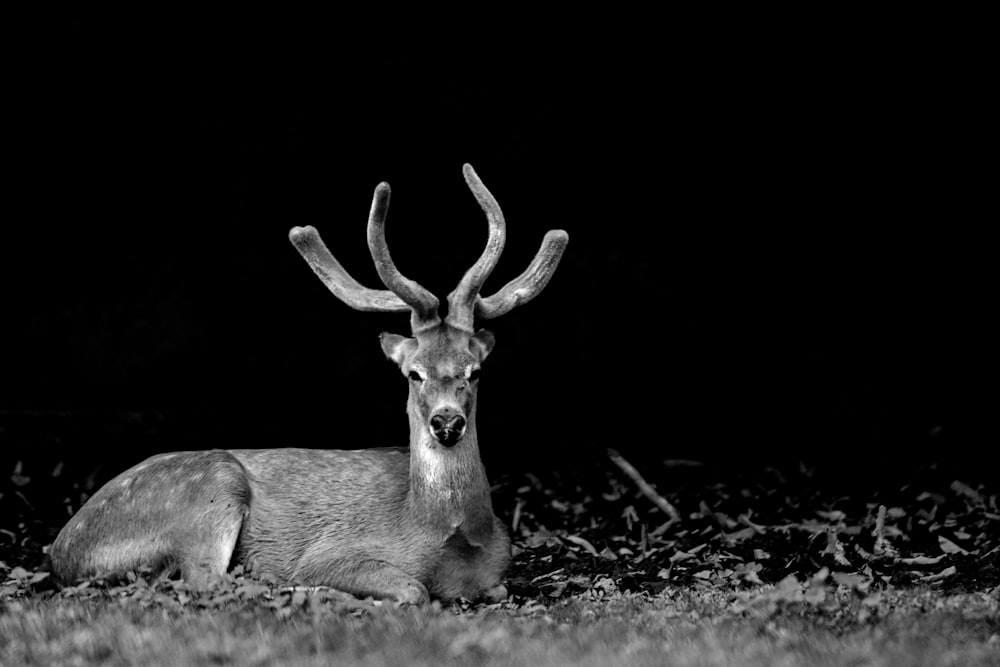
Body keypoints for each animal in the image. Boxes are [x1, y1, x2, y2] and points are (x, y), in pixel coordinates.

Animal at [48, 163, 572, 604]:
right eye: (414, 372)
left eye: (474, 371)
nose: (447, 422)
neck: (448, 537)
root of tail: (60, 552)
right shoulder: (333, 551)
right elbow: (411, 589)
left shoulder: (499, 572)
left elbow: (495, 590)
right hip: (209, 491)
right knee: (207, 583)